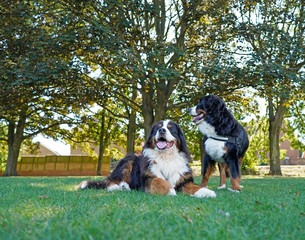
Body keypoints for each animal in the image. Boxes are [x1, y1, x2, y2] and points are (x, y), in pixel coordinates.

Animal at [76, 120, 215, 199]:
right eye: (158, 127)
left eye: (171, 128)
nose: (162, 130)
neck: (166, 157)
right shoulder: (149, 178)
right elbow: (160, 181)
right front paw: (170, 190)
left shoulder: (183, 180)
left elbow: (194, 186)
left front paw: (206, 191)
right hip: (130, 159)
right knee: (110, 181)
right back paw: (119, 187)